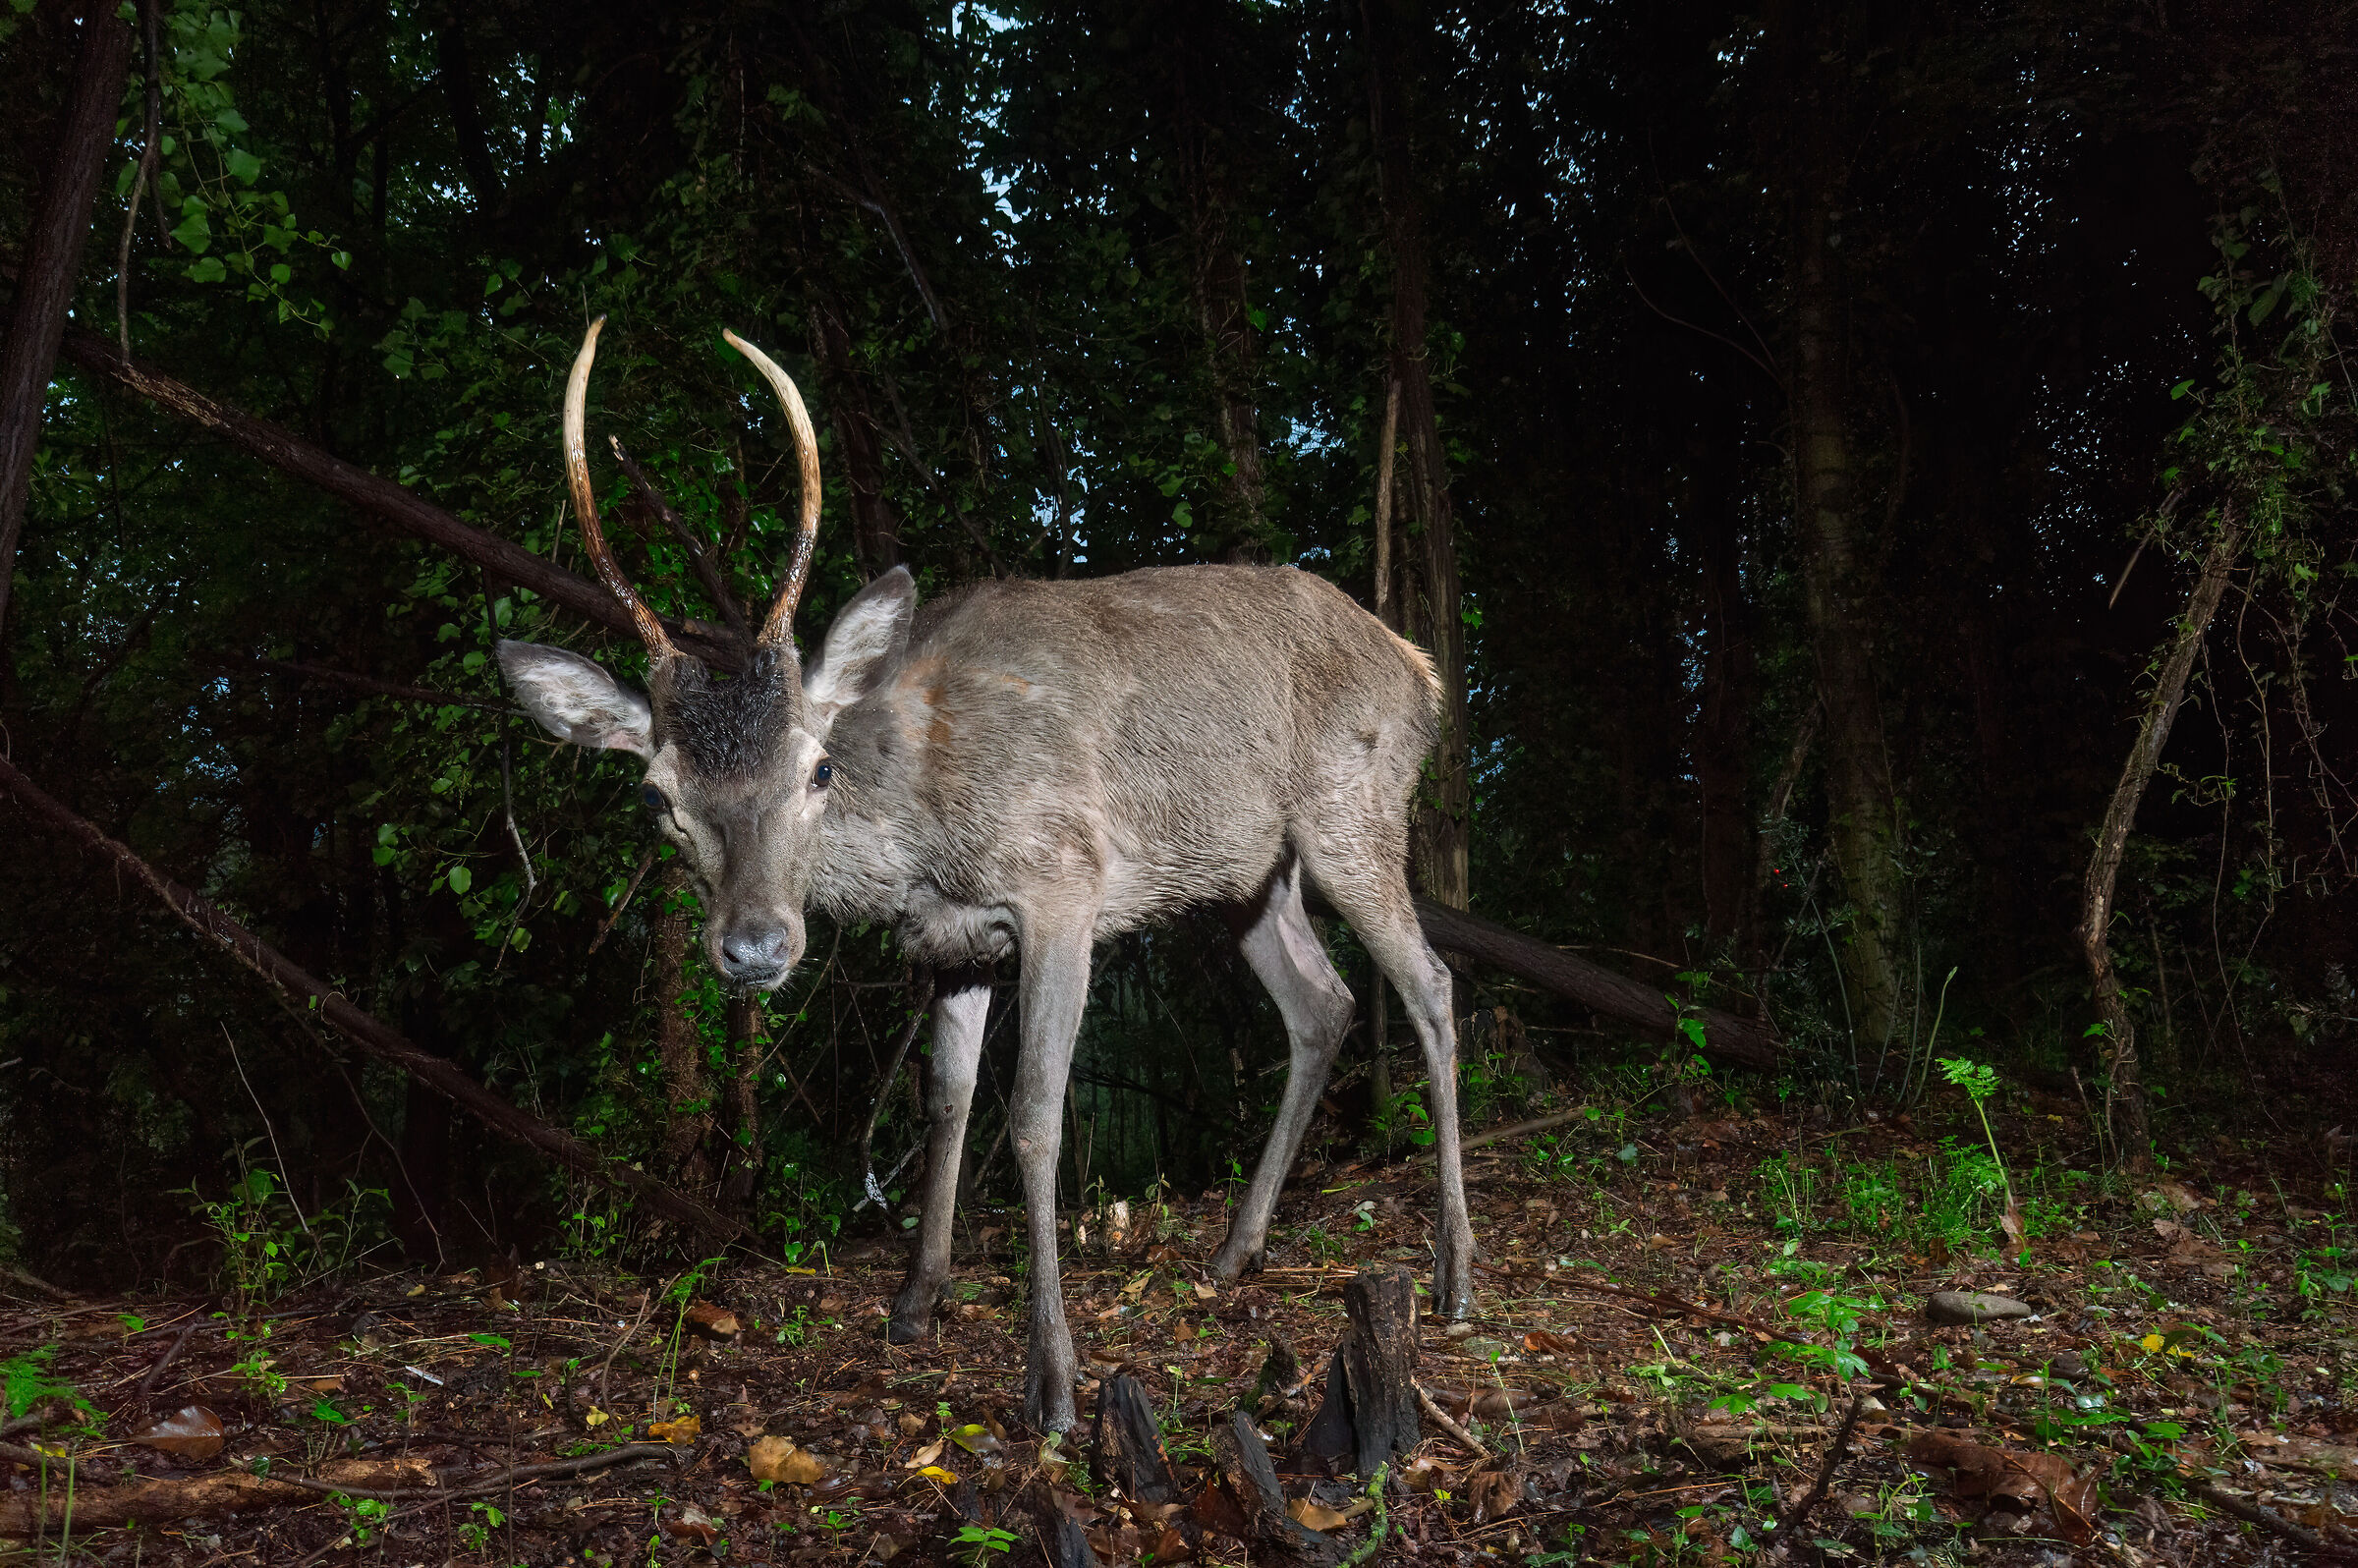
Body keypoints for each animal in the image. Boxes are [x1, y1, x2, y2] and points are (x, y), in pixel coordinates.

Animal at [499, 320, 1474, 1431]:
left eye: (816, 768)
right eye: (656, 794)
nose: (755, 945)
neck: (923, 839)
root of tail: (1420, 669)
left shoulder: (1061, 884)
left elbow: (1037, 1117)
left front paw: (1052, 1379)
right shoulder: (952, 941)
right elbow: (945, 1101)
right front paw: (917, 1302)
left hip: (1354, 810)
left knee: (1431, 984)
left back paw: (1453, 1275)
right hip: (1244, 873)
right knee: (1324, 1002)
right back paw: (1236, 1250)